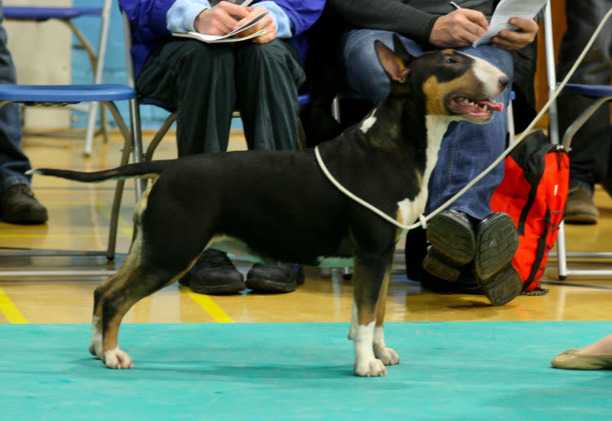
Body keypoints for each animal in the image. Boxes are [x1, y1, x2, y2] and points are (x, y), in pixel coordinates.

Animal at [33, 37, 506, 376]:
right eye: (451, 61)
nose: (504, 80)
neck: (391, 148)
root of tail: (167, 166)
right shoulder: (372, 252)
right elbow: (368, 313)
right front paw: (366, 365)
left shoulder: (383, 253)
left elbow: (375, 311)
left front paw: (381, 351)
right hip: (173, 249)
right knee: (116, 298)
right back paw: (115, 356)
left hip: (154, 244)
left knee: (104, 290)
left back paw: (98, 348)